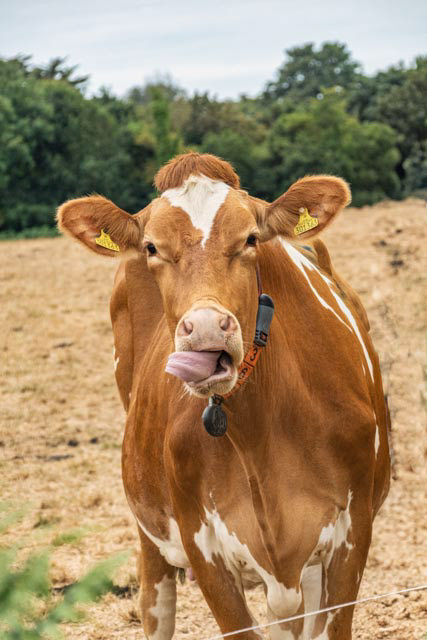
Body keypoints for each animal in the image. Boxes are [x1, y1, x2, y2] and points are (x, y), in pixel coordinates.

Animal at [57, 152, 391, 639]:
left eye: (250, 238)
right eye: (153, 247)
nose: (206, 329)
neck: (260, 435)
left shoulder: (352, 534)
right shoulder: (204, 549)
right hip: (151, 526)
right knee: (156, 602)